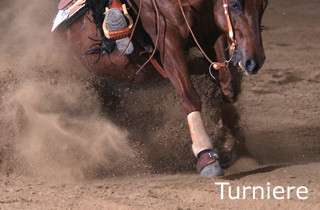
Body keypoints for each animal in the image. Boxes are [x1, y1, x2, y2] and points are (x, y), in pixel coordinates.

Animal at [52, 0, 268, 177]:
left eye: (263, 4)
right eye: (234, 4)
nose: (254, 61)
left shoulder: (211, 31)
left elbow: (228, 88)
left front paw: (231, 145)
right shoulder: (168, 43)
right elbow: (189, 97)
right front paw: (206, 154)